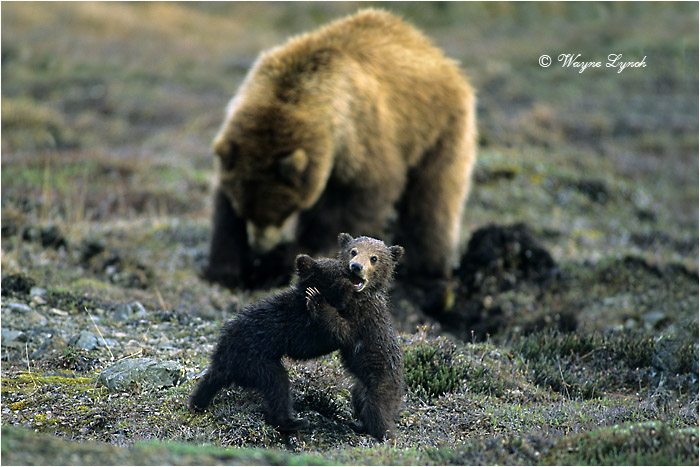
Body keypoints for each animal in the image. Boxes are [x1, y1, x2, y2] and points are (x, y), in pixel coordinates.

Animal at [189, 253, 355, 432]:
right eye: (340, 268)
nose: (352, 267)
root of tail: (222, 362)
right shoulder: (299, 324)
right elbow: (313, 342)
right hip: (254, 363)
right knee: (278, 385)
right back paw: (292, 422)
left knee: (207, 383)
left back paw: (196, 403)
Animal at [205, 8, 477, 309]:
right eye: (246, 208)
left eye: (281, 210)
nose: (260, 246)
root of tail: (438, 55)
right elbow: (223, 209)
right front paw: (226, 270)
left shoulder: (360, 133)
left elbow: (363, 194)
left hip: (438, 128)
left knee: (433, 202)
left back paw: (428, 275)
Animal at [306, 233, 405, 441]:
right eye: (353, 251)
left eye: (374, 258)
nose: (356, 266)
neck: (358, 297)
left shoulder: (364, 321)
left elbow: (344, 331)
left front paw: (316, 298)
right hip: (360, 386)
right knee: (359, 400)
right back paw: (358, 423)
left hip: (382, 384)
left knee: (378, 412)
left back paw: (385, 436)